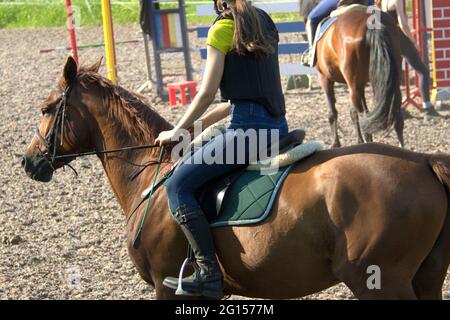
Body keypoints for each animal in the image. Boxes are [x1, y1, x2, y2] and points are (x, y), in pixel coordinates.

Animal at [22, 57, 450, 298]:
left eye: (46, 108)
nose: (29, 161)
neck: (148, 176)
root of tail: (423, 161)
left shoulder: (165, 284)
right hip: (424, 278)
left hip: (381, 280)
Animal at [312, 2, 402, 147]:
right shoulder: (362, 84)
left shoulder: (324, 78)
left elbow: (334, 111)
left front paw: (336, 143)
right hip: (391, 81)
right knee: (395, 115)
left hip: (352, 84)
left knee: (361, 115)